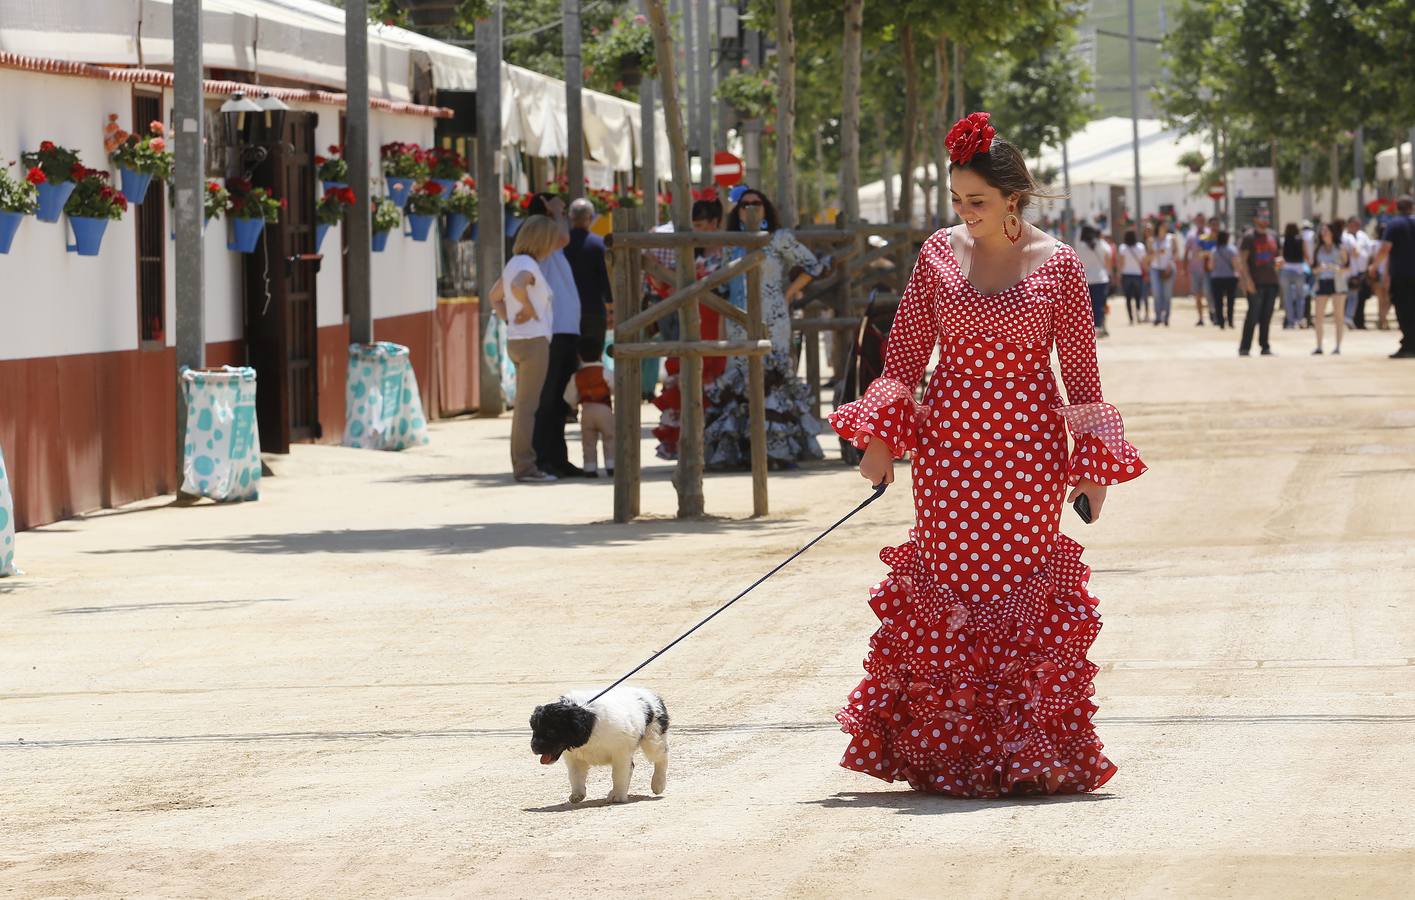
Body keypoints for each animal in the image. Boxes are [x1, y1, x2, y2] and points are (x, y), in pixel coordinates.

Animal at [532, 684, 667, 803]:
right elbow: (575, 775)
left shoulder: (620, 752)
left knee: (661, 757)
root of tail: (652, 695)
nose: (533, 747)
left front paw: (617, 795)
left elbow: (619, 774)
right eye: (534, 729)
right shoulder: (574, 758)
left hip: (653, 738)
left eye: (551, 732)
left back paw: (658, 784)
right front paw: (577, 794)